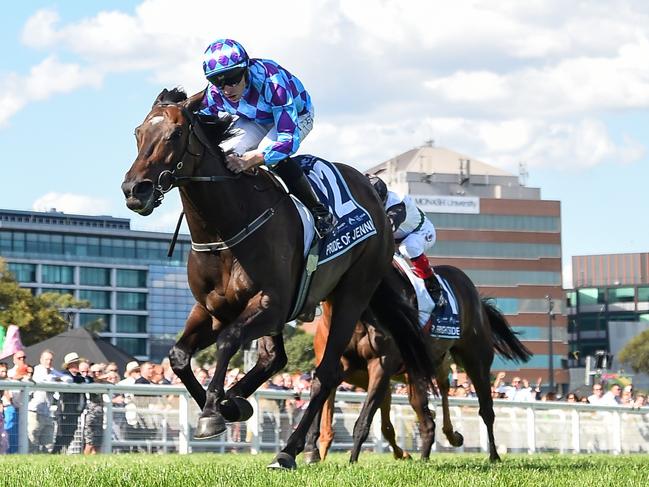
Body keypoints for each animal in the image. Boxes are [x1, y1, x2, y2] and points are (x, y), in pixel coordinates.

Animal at [121, 89, 436, 470]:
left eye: (175, 134)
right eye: (138, 133)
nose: (135, 189)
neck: (226, 230)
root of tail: (374, 197)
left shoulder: (271, 304)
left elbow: (228, 341)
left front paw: (213, 411)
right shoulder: (211, 309)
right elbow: (179, 356)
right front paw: (225, 405)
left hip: (351, 294)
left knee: (325, 375)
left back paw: (288, 450)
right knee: (276, 359)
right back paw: (240, 402)